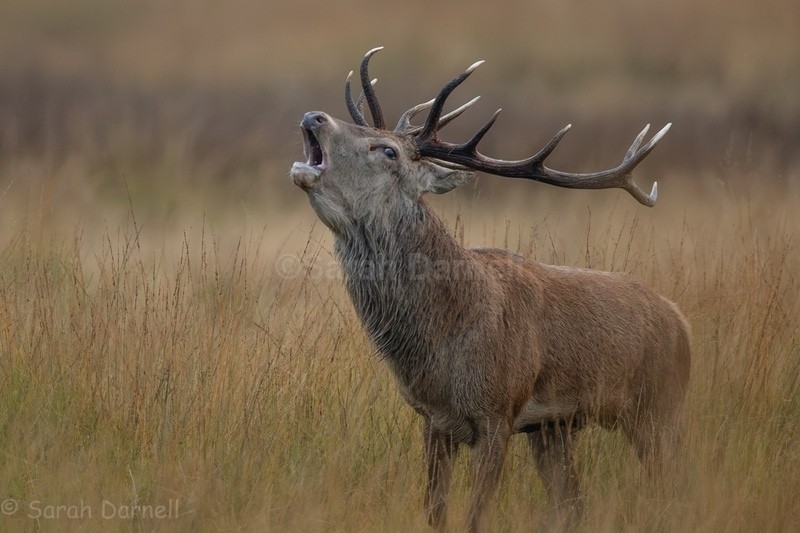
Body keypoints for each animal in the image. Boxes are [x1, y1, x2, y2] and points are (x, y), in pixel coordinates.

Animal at [289, 47, 691, 532]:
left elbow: (476, 516)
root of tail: (683, 324)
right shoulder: (433, 420)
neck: (438, 347)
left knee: (671, 485)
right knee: (573, 503)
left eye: (387, 150)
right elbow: (435, 512)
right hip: (556, 429)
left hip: (659, 408)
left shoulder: (497, 412)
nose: (314, 116)